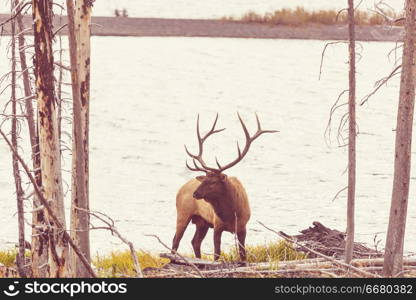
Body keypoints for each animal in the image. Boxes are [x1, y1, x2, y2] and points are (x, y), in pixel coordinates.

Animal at [171, 112, 278, 260]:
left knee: (195, 241)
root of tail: (180, 189)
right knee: (176, 240)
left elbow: (243, 254)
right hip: (183, 213)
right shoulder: (217, 225)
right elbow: (217, 253)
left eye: (212, 182)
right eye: (204, 180)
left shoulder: (243, 227)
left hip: (202, 222)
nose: (195, 193)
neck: (231, 213)